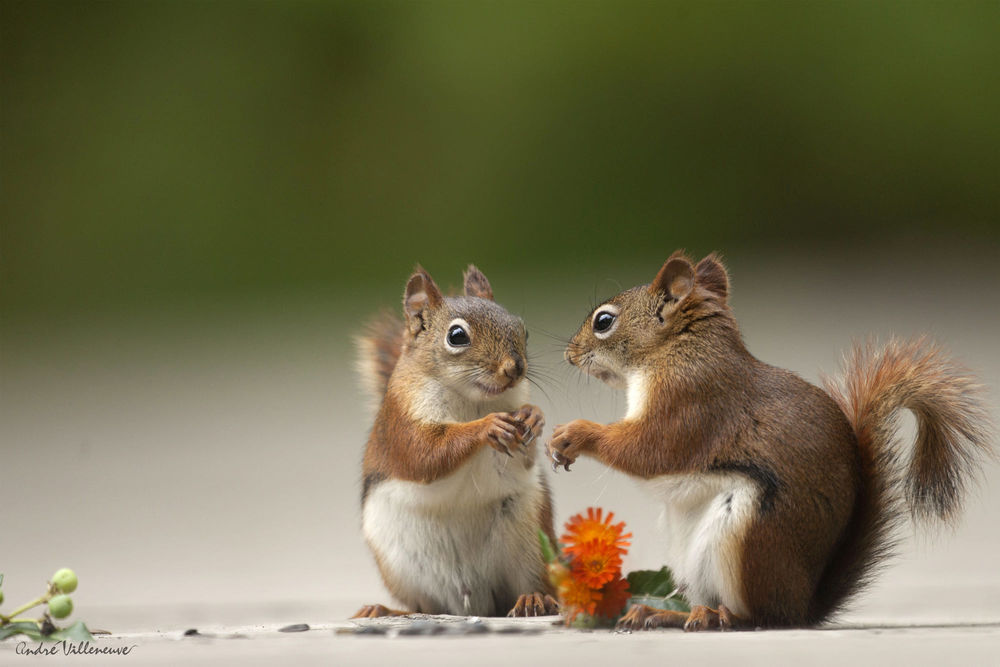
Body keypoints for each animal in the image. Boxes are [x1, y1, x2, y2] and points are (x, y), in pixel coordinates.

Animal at [352, 264, 560, 620]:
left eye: (523, 330)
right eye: (457, 336)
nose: (515, 368)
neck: (473, 400)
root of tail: (474, 601)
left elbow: (526, 457)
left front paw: (534, 415)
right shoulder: (402, 425)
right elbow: (425, 455)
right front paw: (487, 426)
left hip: (532, 539)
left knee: (531, 584)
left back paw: (533, 600)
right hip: (401, 565)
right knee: (422, 605)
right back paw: (385, 610)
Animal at [552, 250, 996, 632]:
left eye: (603, 321)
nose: (569, 355)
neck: (678, 350)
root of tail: (803, 605)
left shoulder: (689, 403)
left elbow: (648, 451)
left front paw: (575, 433)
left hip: (747, 537)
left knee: (759, 616)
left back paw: (718, 617)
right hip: (689, 553)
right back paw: (664, 613)